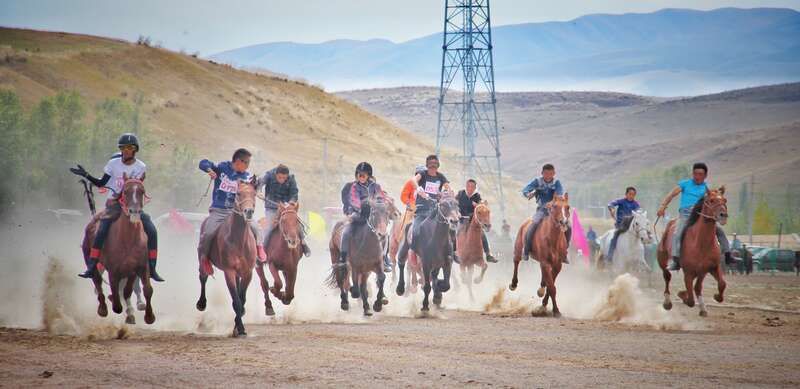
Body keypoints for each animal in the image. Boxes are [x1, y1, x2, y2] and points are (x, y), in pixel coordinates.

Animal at [83, 175, 155, 324]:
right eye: (125, 192)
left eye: (142, 191)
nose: (134, 212)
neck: (128, 240)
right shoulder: (114, 270)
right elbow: (116, 295)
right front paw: (117, 304)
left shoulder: (139, 267)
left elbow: (143, 289)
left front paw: (149, 316)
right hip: (91, 260)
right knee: (97, 281)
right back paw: (103, 308)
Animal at [195, 177, 258, 334]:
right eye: (239, 193)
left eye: (254, 194)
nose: (248, 211)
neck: (238, 240)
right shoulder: (229, 271)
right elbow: (236, 301)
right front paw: (240, 329)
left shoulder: (248, 272)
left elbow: (242, 299)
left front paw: (237, 326)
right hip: (202, 257)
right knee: (203, 277)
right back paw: (201, 303)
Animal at [660, 186, 728, 316]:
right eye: (711, 200)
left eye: (725, 200)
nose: (723, 215)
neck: (701, 244)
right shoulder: (688, 272)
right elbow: (690, 300)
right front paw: (682, 295)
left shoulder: (709, 268)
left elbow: (721, 284)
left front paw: (717, 297)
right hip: (662, 260)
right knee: (667, 277)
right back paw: (667, 302)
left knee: (697, 287)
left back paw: (702, 308)